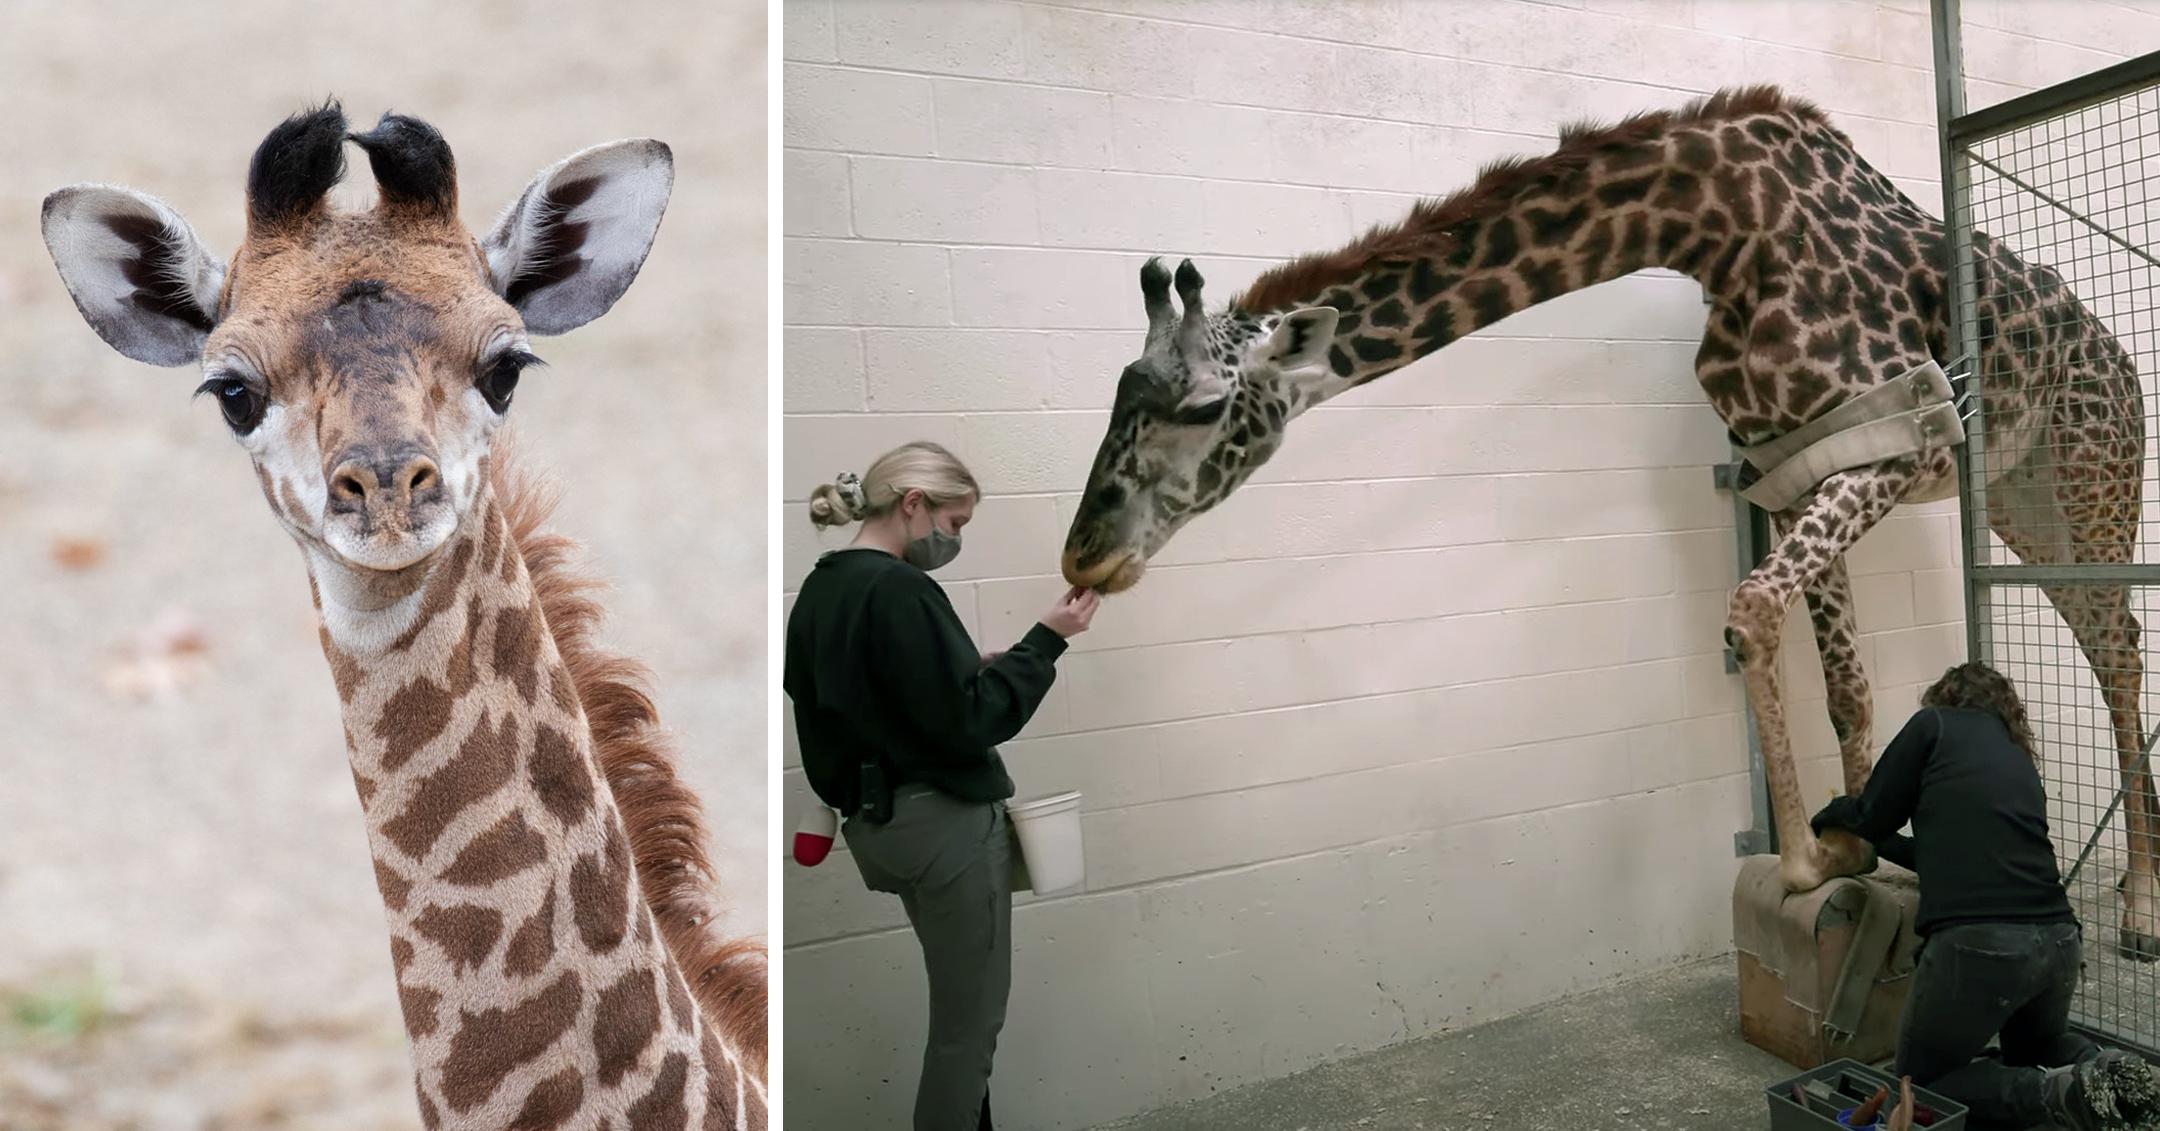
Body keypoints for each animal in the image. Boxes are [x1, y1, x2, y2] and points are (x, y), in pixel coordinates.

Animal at [1062, 84, 2160, 958]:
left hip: (2096, 475)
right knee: (2105, 633)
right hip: (2023, 502)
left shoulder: (1894, 449)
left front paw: (1804, 861)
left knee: (2119, 645)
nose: (1085, 555)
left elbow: (1751, 609)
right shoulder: (1797, 469)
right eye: (1116, 394)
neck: (1720, 229)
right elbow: (1845, 684)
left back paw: (2140, 908)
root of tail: (2119, 357)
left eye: (1201, 408)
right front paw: (1862, 854)